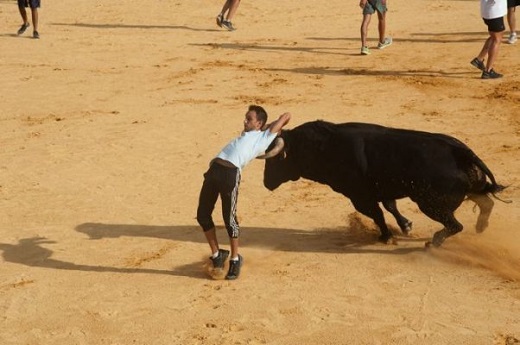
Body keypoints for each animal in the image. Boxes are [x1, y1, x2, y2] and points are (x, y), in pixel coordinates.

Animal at [260, 119, 504, 246]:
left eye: (273, 160)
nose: (266, 183)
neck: (326, 146)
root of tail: (462, 152)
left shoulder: (359, 197)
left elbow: (377, 214)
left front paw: (386, 236)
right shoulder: (381, 190)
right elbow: (390, 207)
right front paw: (405, 226)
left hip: (430, 203)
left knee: (455, 225)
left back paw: (432, 242)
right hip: (469, 189)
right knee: (486, 203)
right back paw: (481, 227)